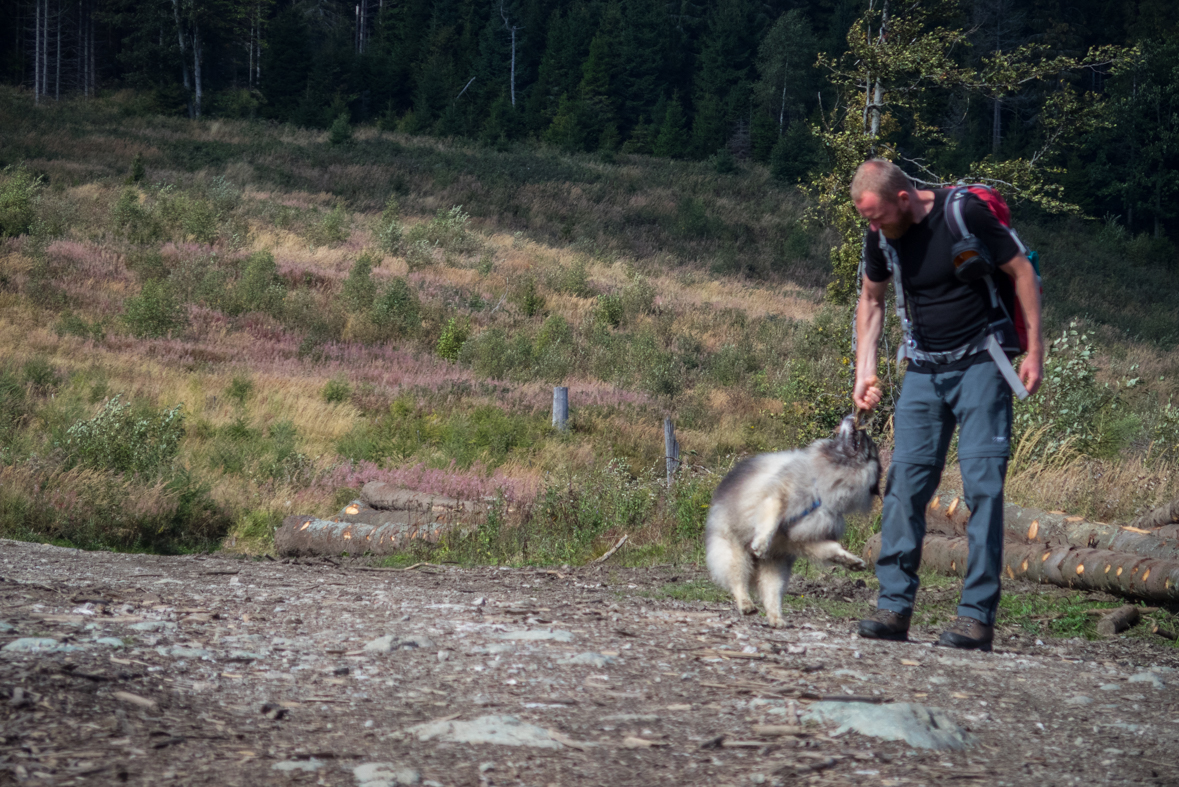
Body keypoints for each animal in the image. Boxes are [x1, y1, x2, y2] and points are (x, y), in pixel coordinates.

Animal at [702, 417, 881, 626]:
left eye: (866, 440)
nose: (852, 418)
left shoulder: (803, 538)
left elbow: (831, 548)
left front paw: (851, 561)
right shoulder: (778, 497)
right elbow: (770, 523)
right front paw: (761, 542)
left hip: (776, 567)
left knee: (771, 593)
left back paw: (776, 618)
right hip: (735, 552)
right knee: (738, 581)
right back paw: (746, 604)